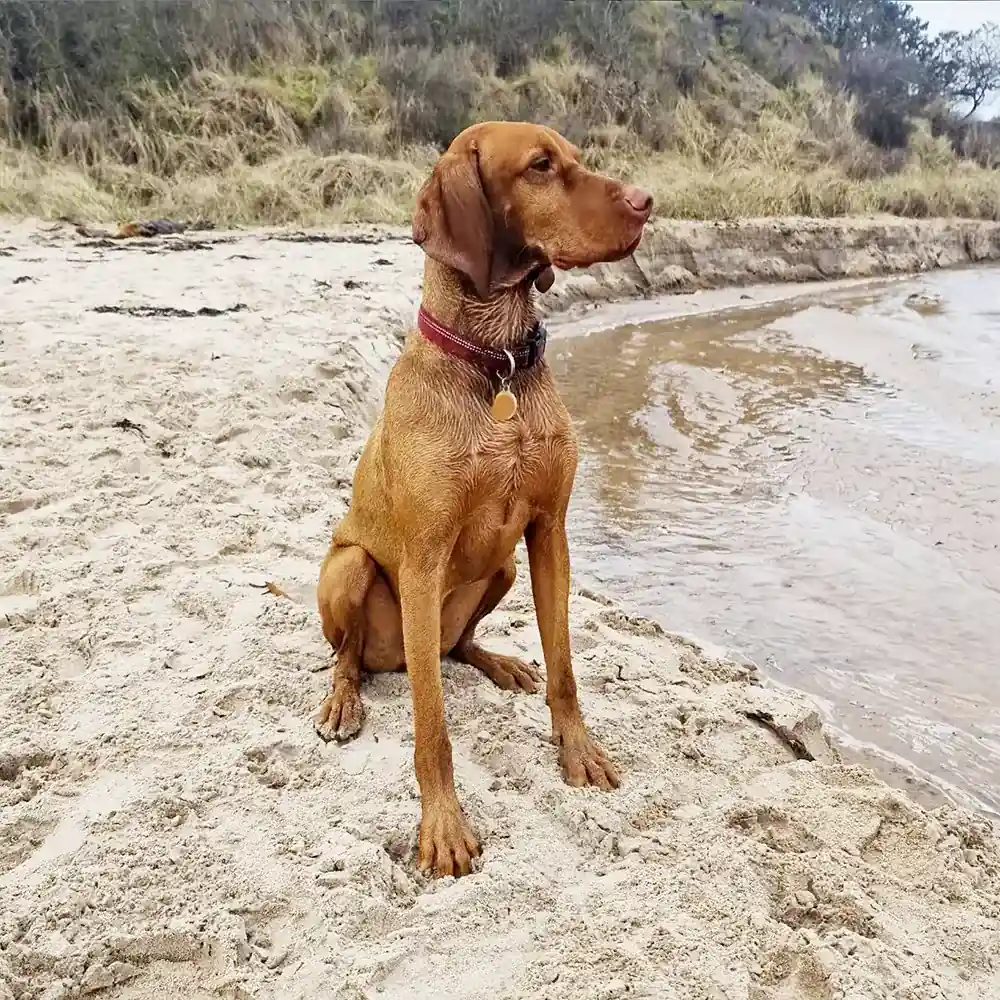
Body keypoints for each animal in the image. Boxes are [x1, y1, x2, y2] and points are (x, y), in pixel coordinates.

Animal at [316, 121, 652, 880]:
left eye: (576, 158)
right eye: (540, 167)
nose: (647, 200)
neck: (493, 357)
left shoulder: (548, 531)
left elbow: (566, 669)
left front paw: (579, 750)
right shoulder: (422, 559)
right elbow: (431, 727)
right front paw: (442, 826)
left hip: (500, 567)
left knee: (455, 647)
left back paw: (498, 662)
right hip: (349, 568)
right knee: (352, 656)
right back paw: (343, 698)